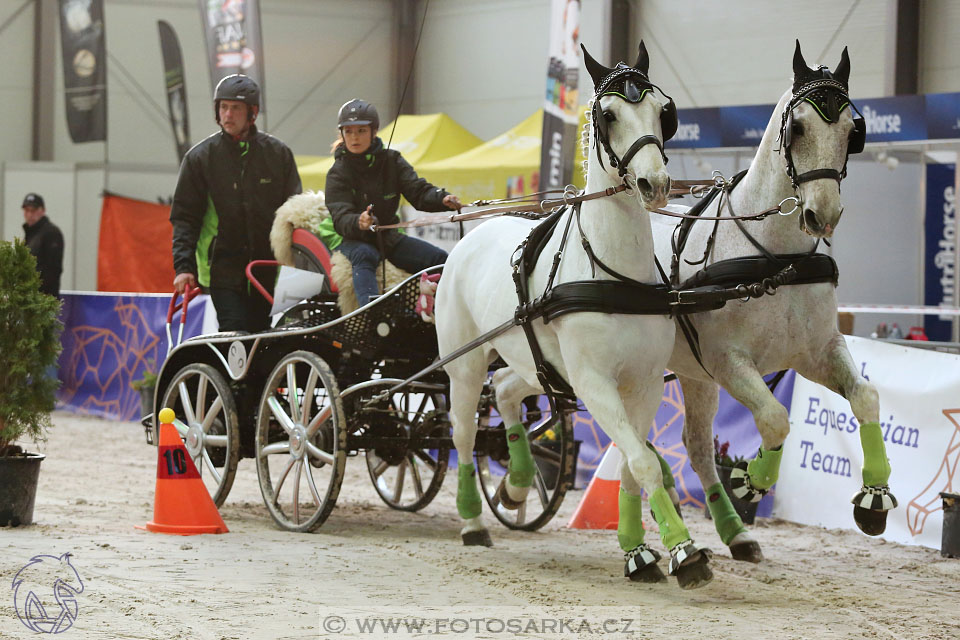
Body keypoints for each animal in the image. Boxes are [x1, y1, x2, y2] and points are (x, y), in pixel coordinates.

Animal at [436, 42, 712, 588]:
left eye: (663, 112)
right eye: (608, 115)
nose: (655, 183)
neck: (615, 276)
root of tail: (471, 235)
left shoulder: (645, 384)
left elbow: (631, 464)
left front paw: (640, 552)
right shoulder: (594, 382)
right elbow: (644, 463)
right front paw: (683, 552)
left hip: (533, 363)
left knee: (506, 392)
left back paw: (517, 485)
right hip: (465, 365)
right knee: (463, 433)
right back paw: (474, 522)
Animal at [648, 42, 896, 560]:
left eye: (853, 131)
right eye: (797, 126)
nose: (823, 214)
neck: (775, 259)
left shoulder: (815, 352)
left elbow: (865, 396)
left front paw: (874, 498)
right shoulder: (729, 361)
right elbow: (775, 418)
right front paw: (755, 480)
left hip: (692, 374)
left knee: (695, 445)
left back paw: (733, 534)